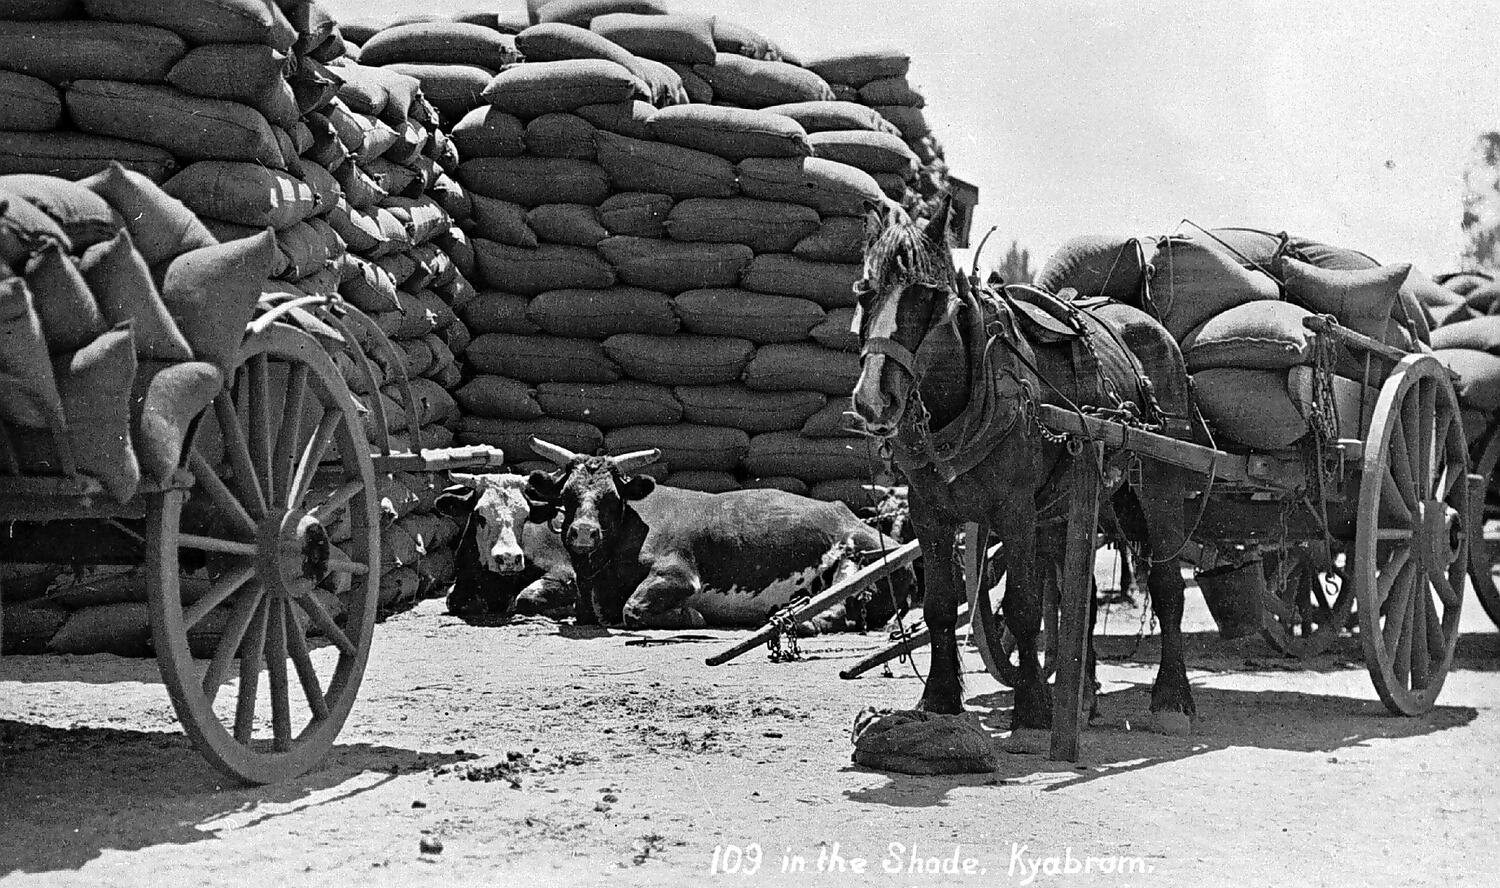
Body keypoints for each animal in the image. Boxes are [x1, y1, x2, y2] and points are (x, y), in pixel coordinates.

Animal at [436, 473, 577, 620]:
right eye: (480, 516)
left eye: (525, 517)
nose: (509, 558)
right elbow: (456, 600)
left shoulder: (563, 572)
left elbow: (524, 598)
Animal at [521, 438, 914, 631]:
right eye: (566, 496)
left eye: (612, 498)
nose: (584, 533)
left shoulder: (678, 575)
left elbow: (633, 609)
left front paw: (691, 617)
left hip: (855, 560)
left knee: (835, 611)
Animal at [850, 195, 1198, 734]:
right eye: (866, 294)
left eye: (927, 298)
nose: (872, 400)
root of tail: (1152, 327)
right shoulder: (929, 515)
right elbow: (940, 606)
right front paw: (940, 697)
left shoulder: (1014, 513)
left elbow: (1023, 608)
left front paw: (1032, 708)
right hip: (1079, 500)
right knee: (1080, 595)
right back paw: (1083, 694)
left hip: (1159, 487)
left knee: (1166, 586)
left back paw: (1171, 698)